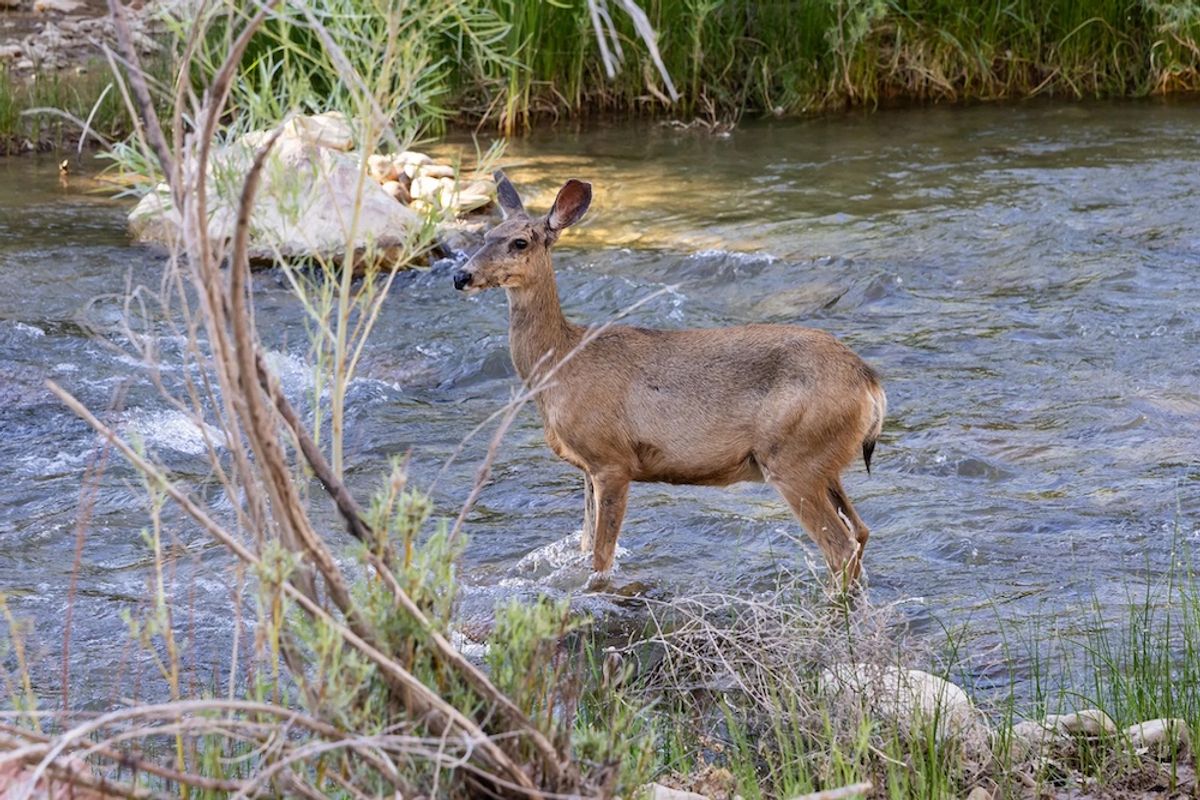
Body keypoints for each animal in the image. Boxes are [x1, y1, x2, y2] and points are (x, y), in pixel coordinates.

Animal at [452, 172, 887, 587]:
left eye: (520, 242)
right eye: (486, 236)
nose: (461, 275)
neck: (561, 363)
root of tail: (870, 383)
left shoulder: (611, 459)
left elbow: (601, 557)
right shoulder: (586, 468)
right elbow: (584, 544)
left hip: (794, 455)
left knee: (840, 547)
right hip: (822, 461)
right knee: (861, 531)